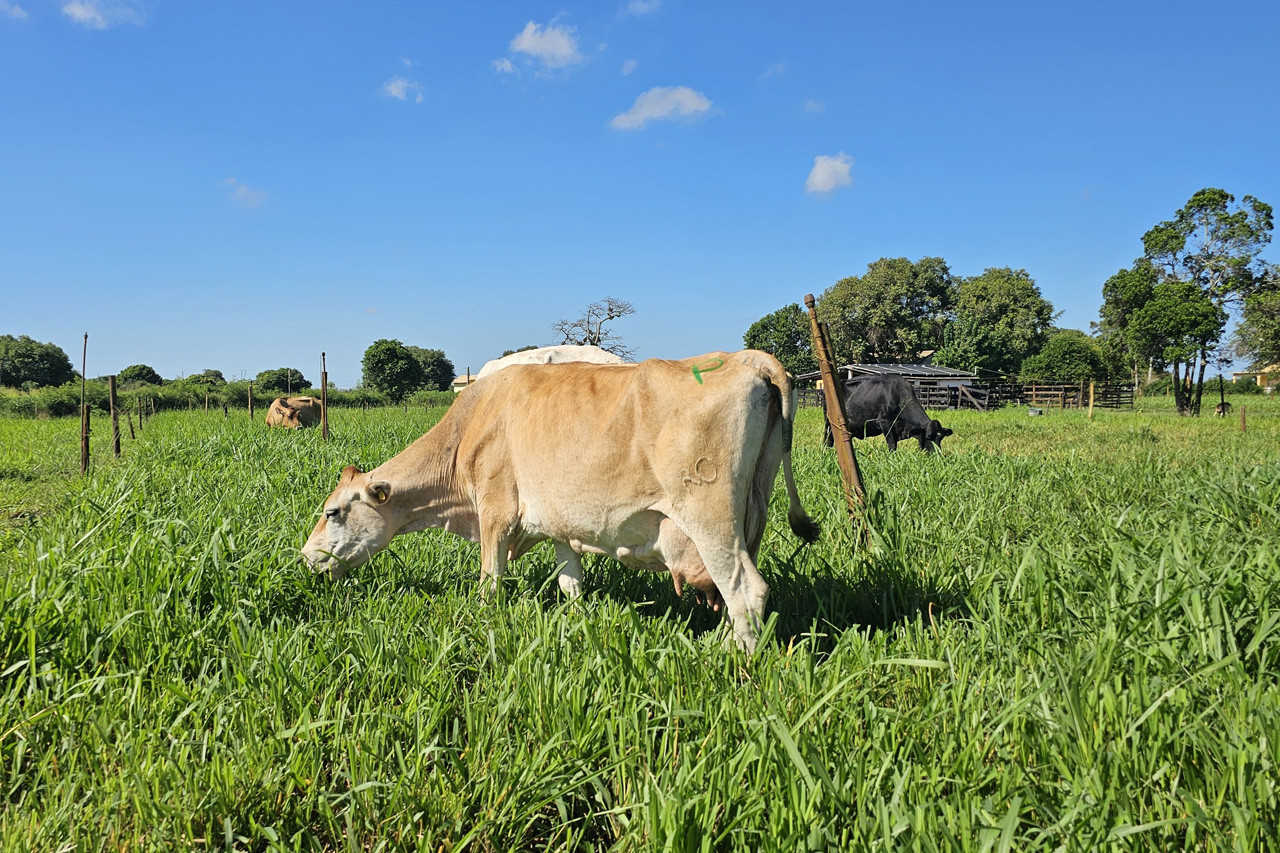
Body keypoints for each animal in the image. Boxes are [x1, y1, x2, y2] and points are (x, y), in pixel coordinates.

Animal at [300, 348, 819, 648]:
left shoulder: (496, 510)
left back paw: (733, 661)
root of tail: (746, 358)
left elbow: (490, 582)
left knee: (745, 590)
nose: (305, 557)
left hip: (711, 520)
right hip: (753, 513)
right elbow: (571, 586)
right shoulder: (558, 526)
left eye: (333, 511)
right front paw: (578, 628)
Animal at [819, 373, 952, 448]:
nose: (938, 456)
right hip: (829, 423)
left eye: (940, 439)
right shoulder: (884, 423)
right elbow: (892, 445)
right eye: (928, 437)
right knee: (828, 441)